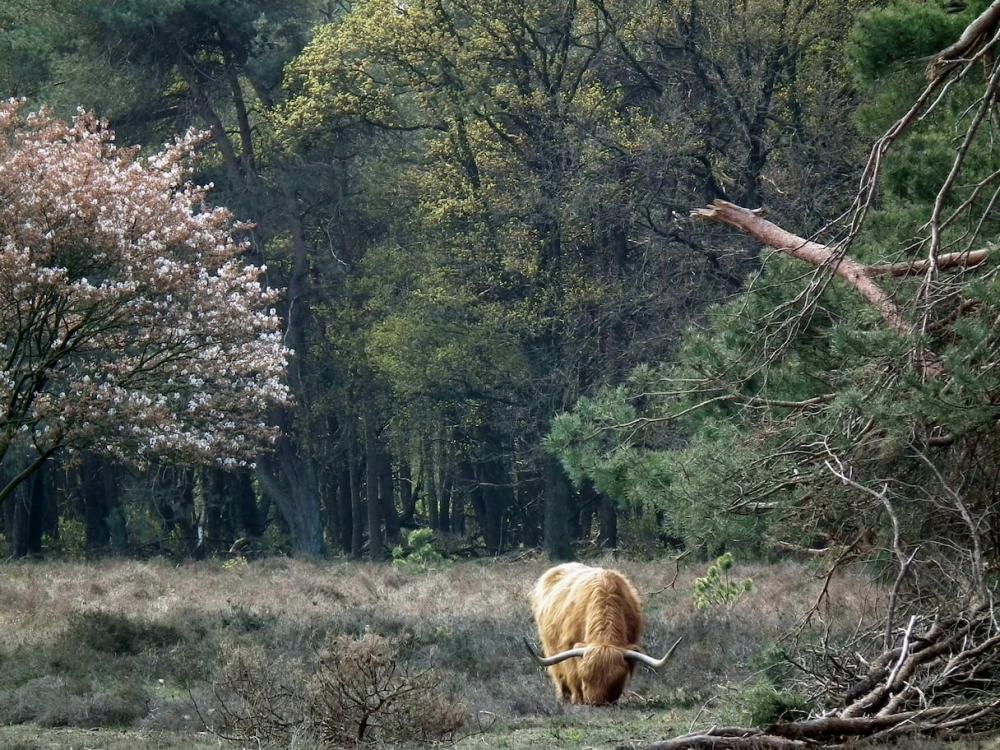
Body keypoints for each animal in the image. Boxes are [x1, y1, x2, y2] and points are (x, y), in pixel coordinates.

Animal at [524, 564, 680, 704]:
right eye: (585, 677)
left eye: (616, 681)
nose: (596, 702)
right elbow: (572, 675)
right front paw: (577, 700)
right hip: (550, 649)